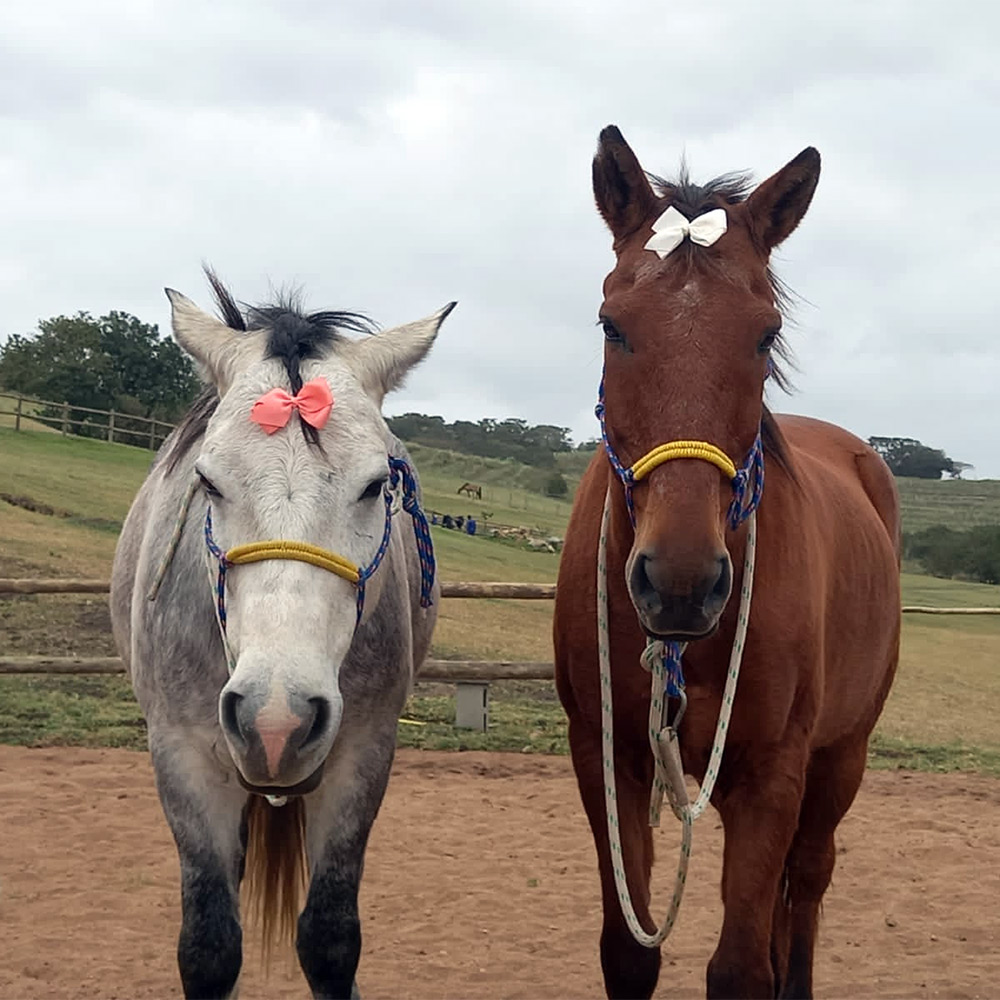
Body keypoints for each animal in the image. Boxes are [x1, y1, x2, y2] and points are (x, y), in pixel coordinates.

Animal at [110, 273, 455, 998]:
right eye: (206, 480)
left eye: (376, 484)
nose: (277, 721)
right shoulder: (182, 756)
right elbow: (209, 949)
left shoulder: (362, 757)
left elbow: (329, 942)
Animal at [553, 126, 900, 999]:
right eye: (611, 324)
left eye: (765, 333)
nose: (679, 584)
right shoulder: (607, 758)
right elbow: (629, 951)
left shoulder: (772, 773)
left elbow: (743, 965)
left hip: (841, 757)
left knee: (806, 884)